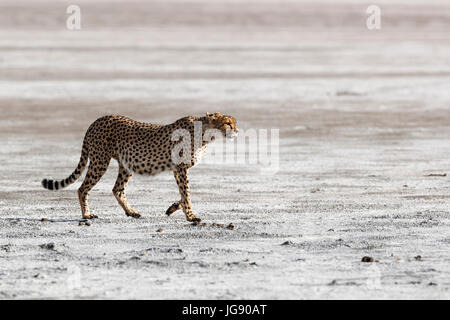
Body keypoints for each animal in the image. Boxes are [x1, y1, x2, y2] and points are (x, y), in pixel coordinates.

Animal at [41, 113, 239, 222]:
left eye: (234, 123)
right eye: (228, 123)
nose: (237, 131)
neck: (204, 133)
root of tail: (97, 120)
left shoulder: (178, 170)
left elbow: (184, 194)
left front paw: (173, 208)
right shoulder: (181, 168)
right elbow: (187, 193)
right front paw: (191, 216)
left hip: (126, 164)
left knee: (117, 189)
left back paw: (131, 212)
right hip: (100, 160)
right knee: (83, 188)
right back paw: (86, 215)